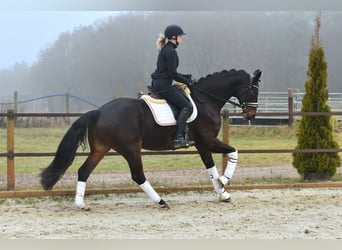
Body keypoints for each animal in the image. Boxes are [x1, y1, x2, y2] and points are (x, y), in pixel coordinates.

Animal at [41, 68, 264, 209]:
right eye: (253, 90)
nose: (251, 114)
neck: (206, 99)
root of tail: (99, 111)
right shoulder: (207, 140)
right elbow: (234, 151)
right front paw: (224, 180)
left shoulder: (202, 145)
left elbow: (210, 168)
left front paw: (222, 192)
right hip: (131, 148)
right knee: (138, 175)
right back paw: (161, 201)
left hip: (101, 148)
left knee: (84, 171)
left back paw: (80, 204)